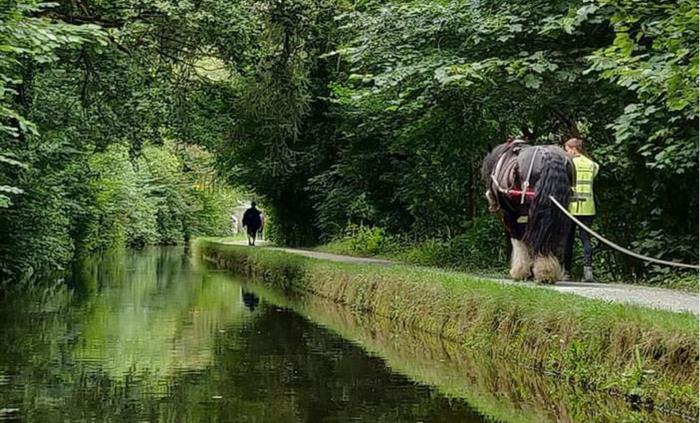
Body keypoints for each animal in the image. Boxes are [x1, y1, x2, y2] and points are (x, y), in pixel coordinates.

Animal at [481, 139, 573, 283]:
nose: (491, 202)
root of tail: (548, 155)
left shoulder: (510, 215)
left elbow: (518, 239)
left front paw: (521, 271)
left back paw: (544, 272)